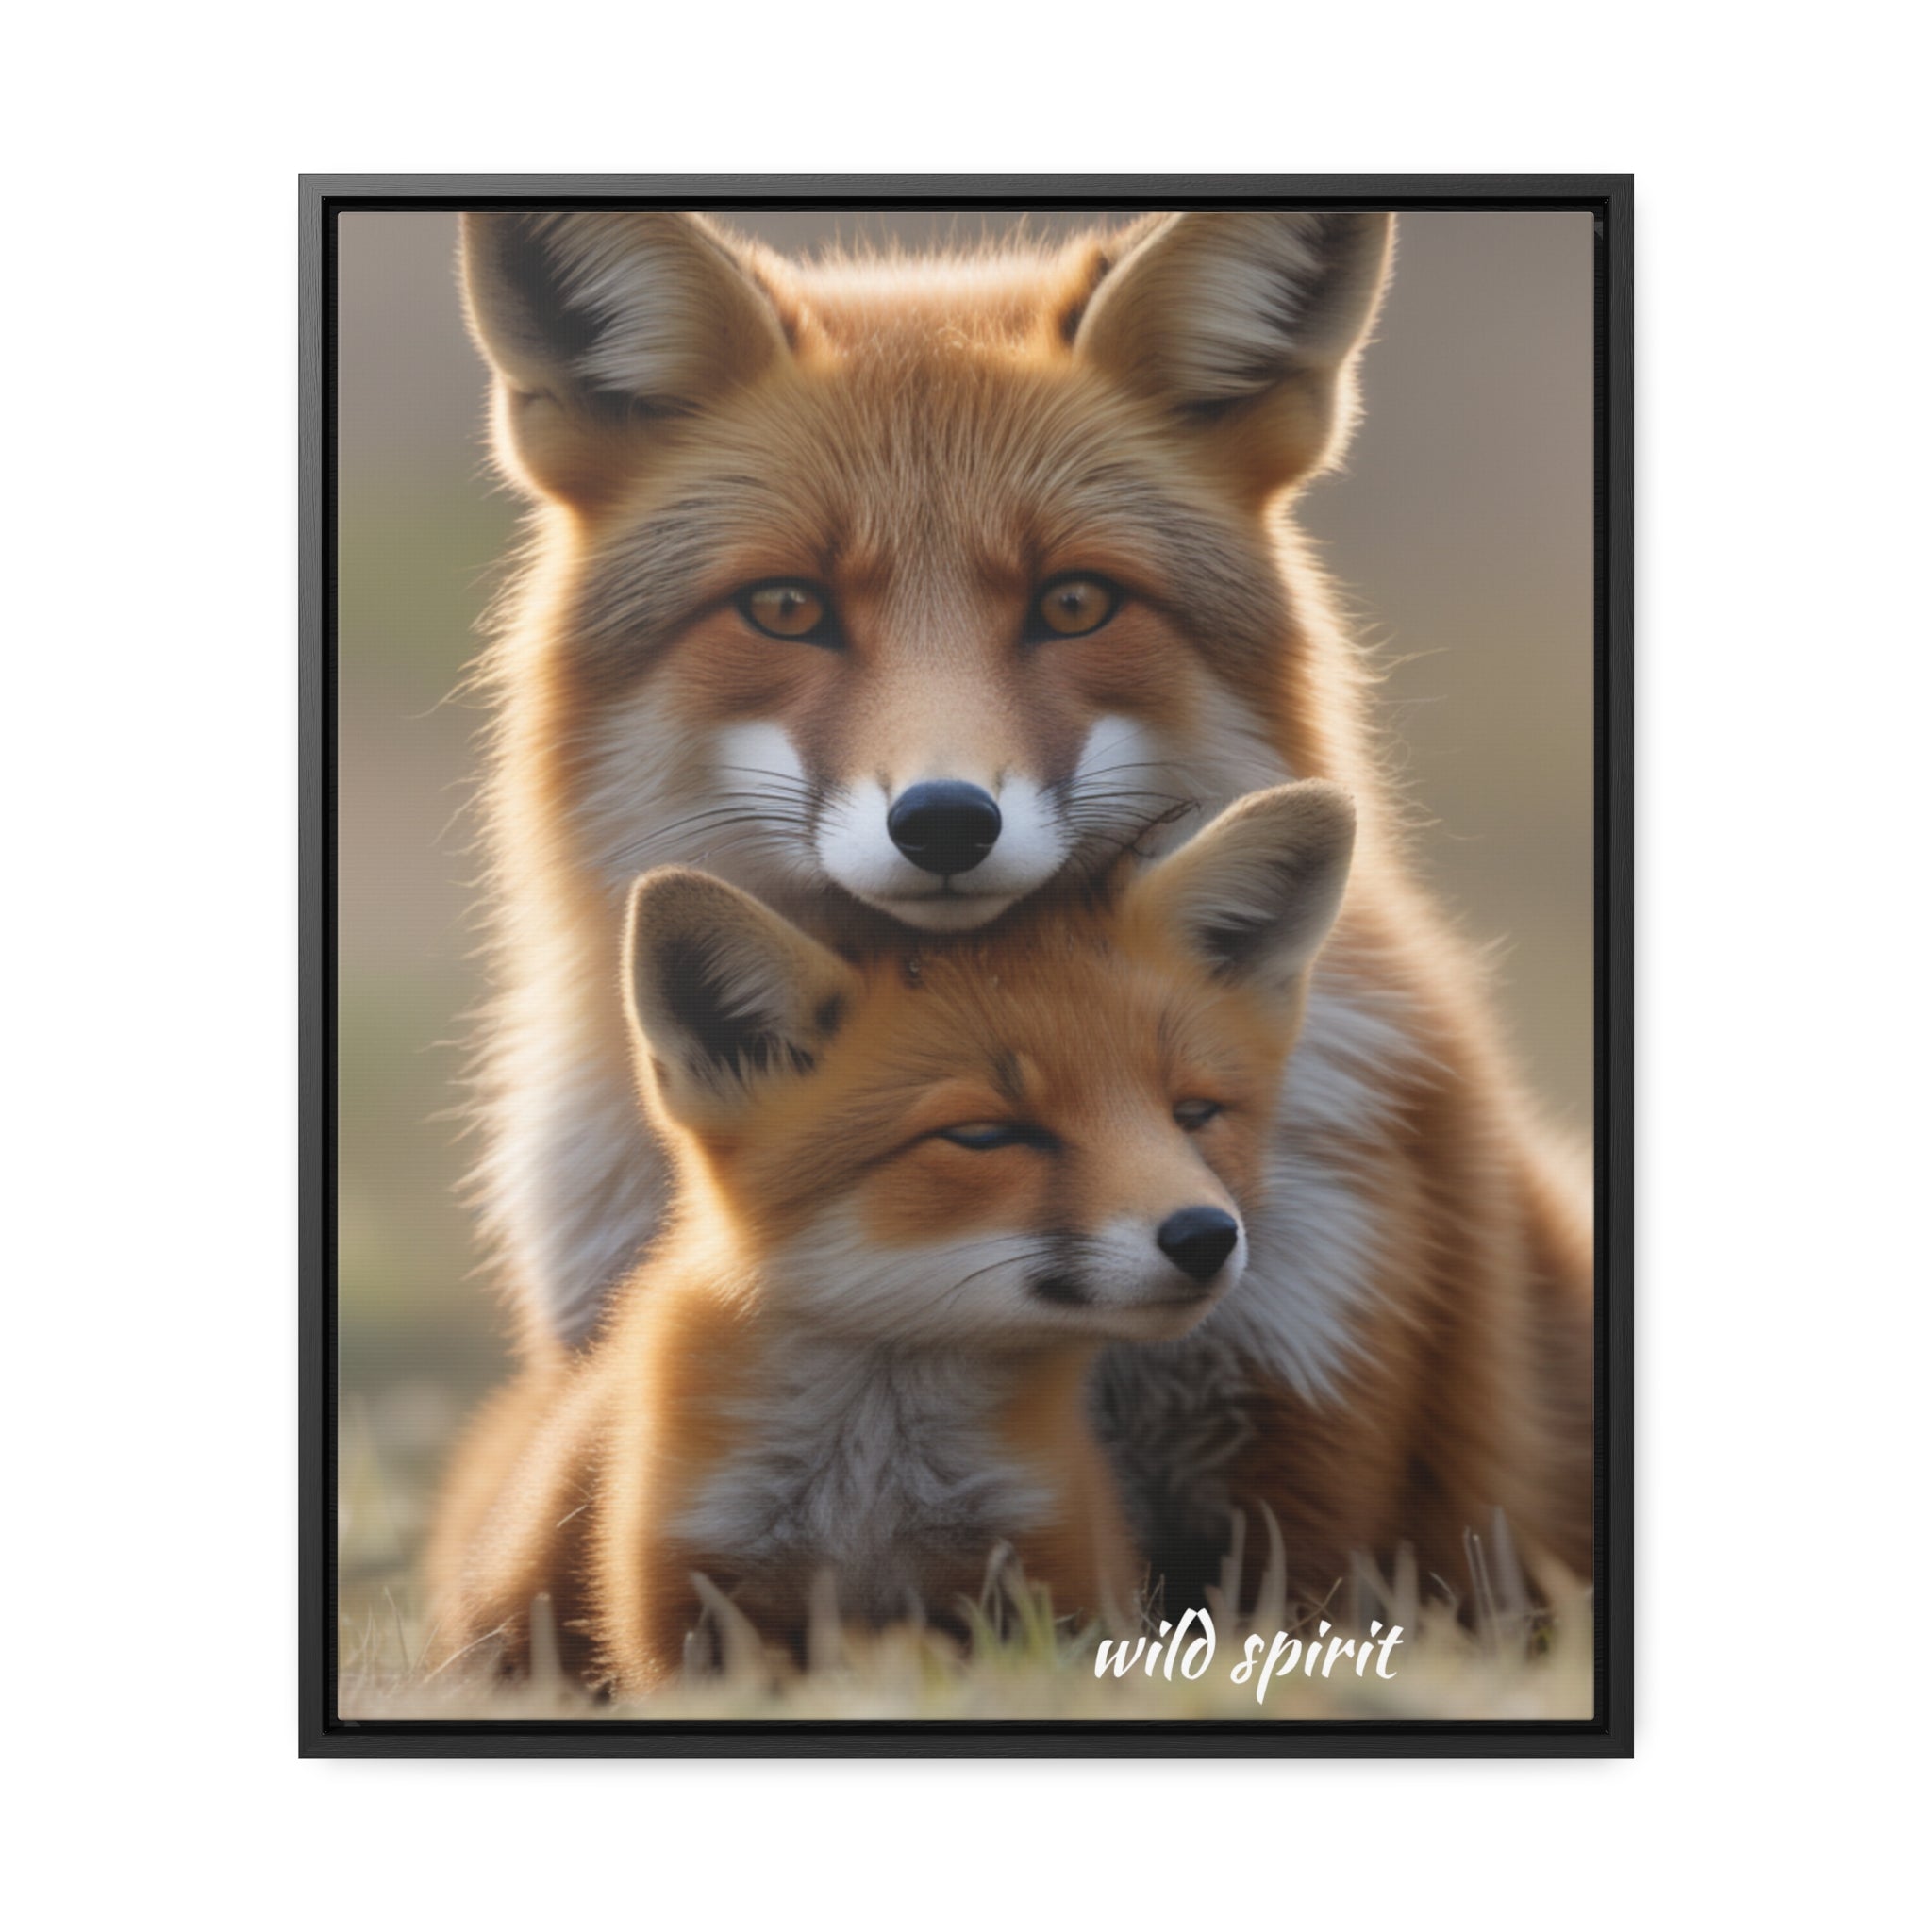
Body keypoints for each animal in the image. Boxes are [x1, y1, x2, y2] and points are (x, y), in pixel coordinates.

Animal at [425, 783, 1358, 1691]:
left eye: (1194, 1114)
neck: (870, 1489)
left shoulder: (1052, 1576)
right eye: (985, 1135)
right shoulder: (686, 1603)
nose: (1205, 1236)